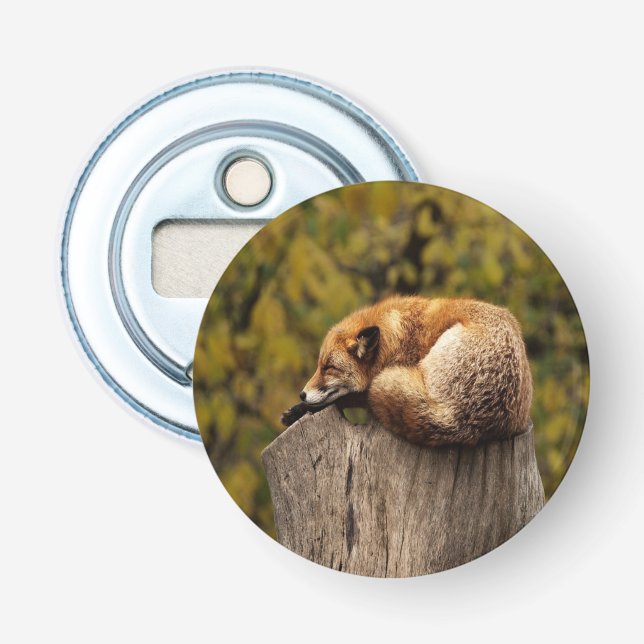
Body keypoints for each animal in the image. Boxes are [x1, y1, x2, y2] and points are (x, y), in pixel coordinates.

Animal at [281, 295, 533, 447]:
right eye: (319, 366)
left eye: (329, 368)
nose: (302, 394)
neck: (397, 338)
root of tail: (460, 421)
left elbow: (346, 398)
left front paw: (301, 409)